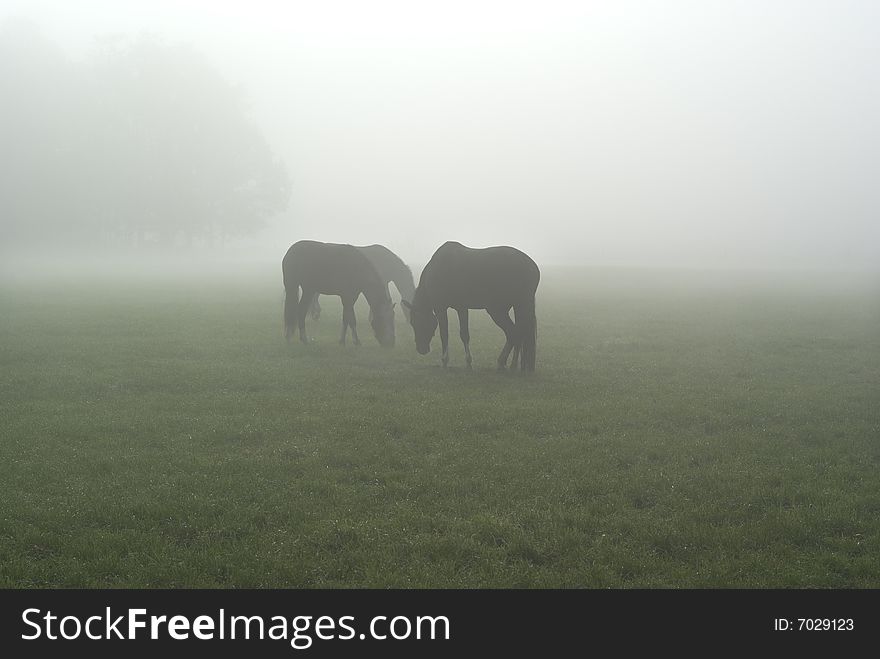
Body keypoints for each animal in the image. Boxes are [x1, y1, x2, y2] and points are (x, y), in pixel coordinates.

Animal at [402, 242, 540, 374]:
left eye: (415, 323)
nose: (421, 349)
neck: (437, 269)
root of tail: (533, 268)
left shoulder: (440, 308)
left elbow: (445, 334)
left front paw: (445, 360)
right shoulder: (461, 308)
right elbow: (464, 334)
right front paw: (468, 363)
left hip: (498, 310)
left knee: (513, 333)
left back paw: (504, 363)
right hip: (514, 308)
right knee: (518, 333)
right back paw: (513, 365)